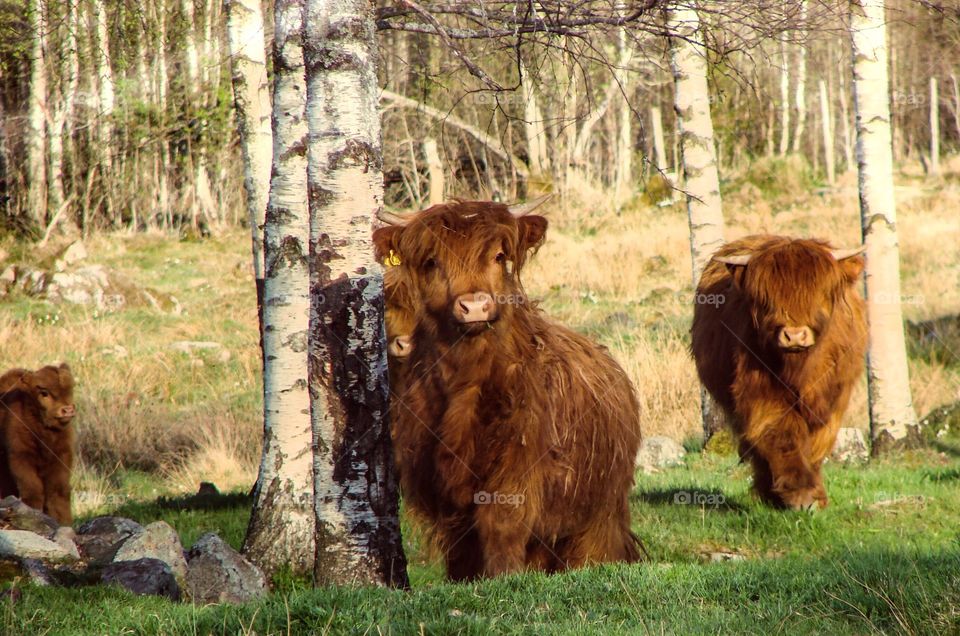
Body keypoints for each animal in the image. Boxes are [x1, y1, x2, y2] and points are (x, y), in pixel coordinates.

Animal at [372, 199, 640, 580]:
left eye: (499, 256)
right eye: (431, 261)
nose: (474, 306)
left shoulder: (518, 467)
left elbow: (501, 524)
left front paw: (504, 576)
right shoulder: (440, 481)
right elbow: (461, 544)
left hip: (599, 513)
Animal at [688, 236, 872, 510]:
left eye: (819, 293)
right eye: (767, 299)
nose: (794, 335)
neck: (801, 367)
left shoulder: (831, 400)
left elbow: (817, 446)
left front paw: (816, 497)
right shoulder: (761, 393)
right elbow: (781, 436)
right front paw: (800, 494)